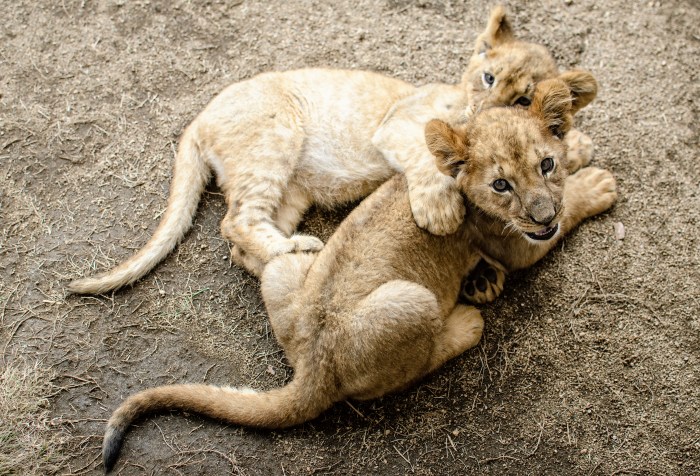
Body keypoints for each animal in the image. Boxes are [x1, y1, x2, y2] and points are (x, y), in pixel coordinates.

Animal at [67, 6, 596, 299]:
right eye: (488, 77)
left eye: (522, 98)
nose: (481, 110)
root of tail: (198, 118)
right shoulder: (399, 122)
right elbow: (428, 162)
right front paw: (440, 211)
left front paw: (575, 144)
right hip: (274, 136)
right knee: (234, 223)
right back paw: (301, 251)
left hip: (291, 189)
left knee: (242, 239)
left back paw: (294, 260)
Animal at [100, 77, 616, 471]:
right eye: (501, 185)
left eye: (544, 165)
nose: (543, 214)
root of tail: (312, 368)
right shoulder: (516, 240)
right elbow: (562, 217)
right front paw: (596, 185)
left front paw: (575, 148)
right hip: (410, 299)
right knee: (411, 367)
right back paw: (467, 323)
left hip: (288, 268)